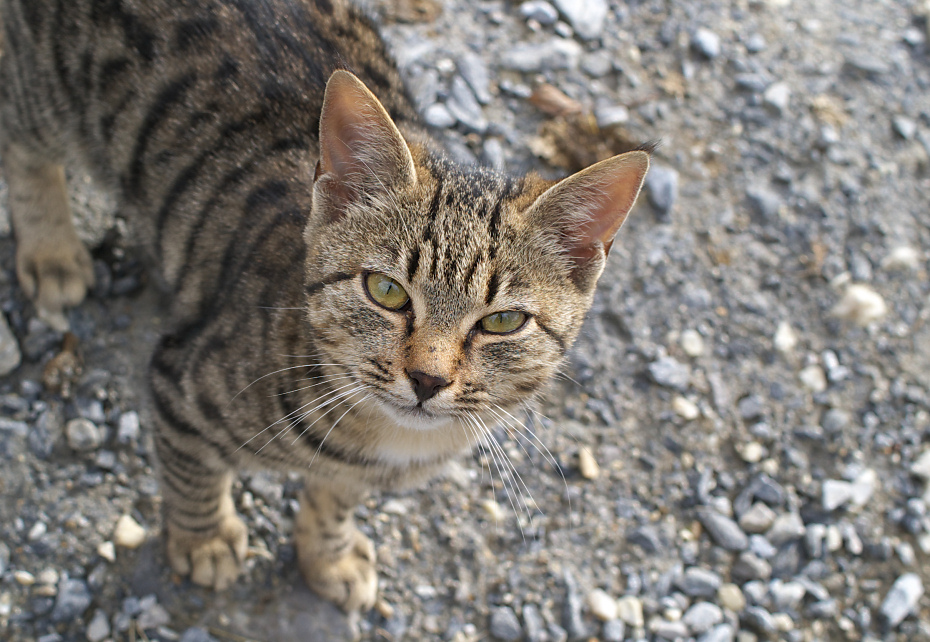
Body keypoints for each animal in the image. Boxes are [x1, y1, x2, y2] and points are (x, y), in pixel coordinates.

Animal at [0, 0, 648, 620]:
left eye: (502, 322)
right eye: (386, 291)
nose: (427, 378)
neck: (387, 439)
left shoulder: (355, 472)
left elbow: (335, 500)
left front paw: (327, 555)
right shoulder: (179, 383)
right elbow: (191, 472)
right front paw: (204, 540)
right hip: (49, 87)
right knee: (21, 138)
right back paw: (52, 250)